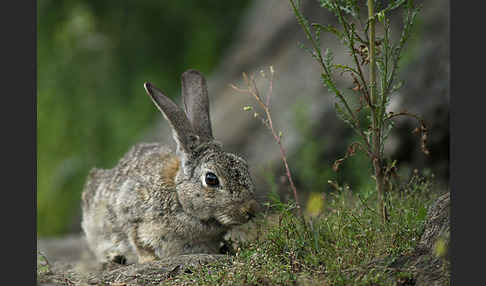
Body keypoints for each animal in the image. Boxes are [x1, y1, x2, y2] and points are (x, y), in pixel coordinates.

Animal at [81, 68, 260, 264]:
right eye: (211, 179)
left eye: (244, 165)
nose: (250, 209)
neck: (179, 197)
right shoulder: (129, 211)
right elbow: (135, 238)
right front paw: (149, 260)